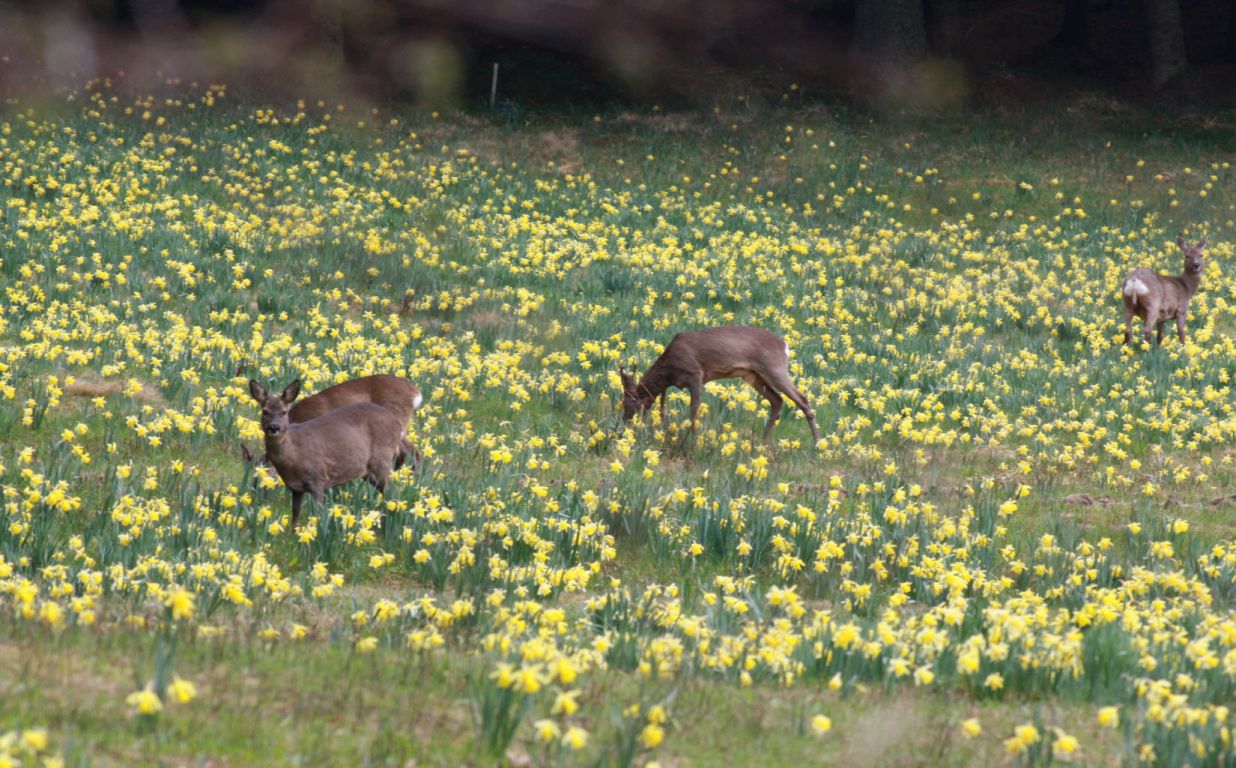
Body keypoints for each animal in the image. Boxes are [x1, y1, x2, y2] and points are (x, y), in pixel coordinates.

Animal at [241, 373, 425, 469]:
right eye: (264, 411)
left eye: (283, 411)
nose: (273, 427)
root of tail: (416, 393)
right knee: (410, 452)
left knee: (408, 453)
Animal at [248, 378, 407, 526]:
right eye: (265, 411)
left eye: (284, 412)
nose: (274, 427)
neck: (294, 454)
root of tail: (396, 422)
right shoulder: (295, 488)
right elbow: (295, 515)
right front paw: (293, 533)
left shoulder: (318, 480)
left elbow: (317, 515)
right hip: (367, 471)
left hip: (383, 458)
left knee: (390, 490)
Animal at [618, 326, 820, 445]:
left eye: (629, 404)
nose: (623, 426)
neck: (669, 370)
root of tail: (785, 345)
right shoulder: (670, 385)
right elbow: (662, 409)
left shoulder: (695, 374)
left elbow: (693, 410)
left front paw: (692, 443)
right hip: (754, 376)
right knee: (777, 400)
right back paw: (762, 444)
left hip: (774, 368)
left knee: (802, 399)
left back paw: (818, 444)